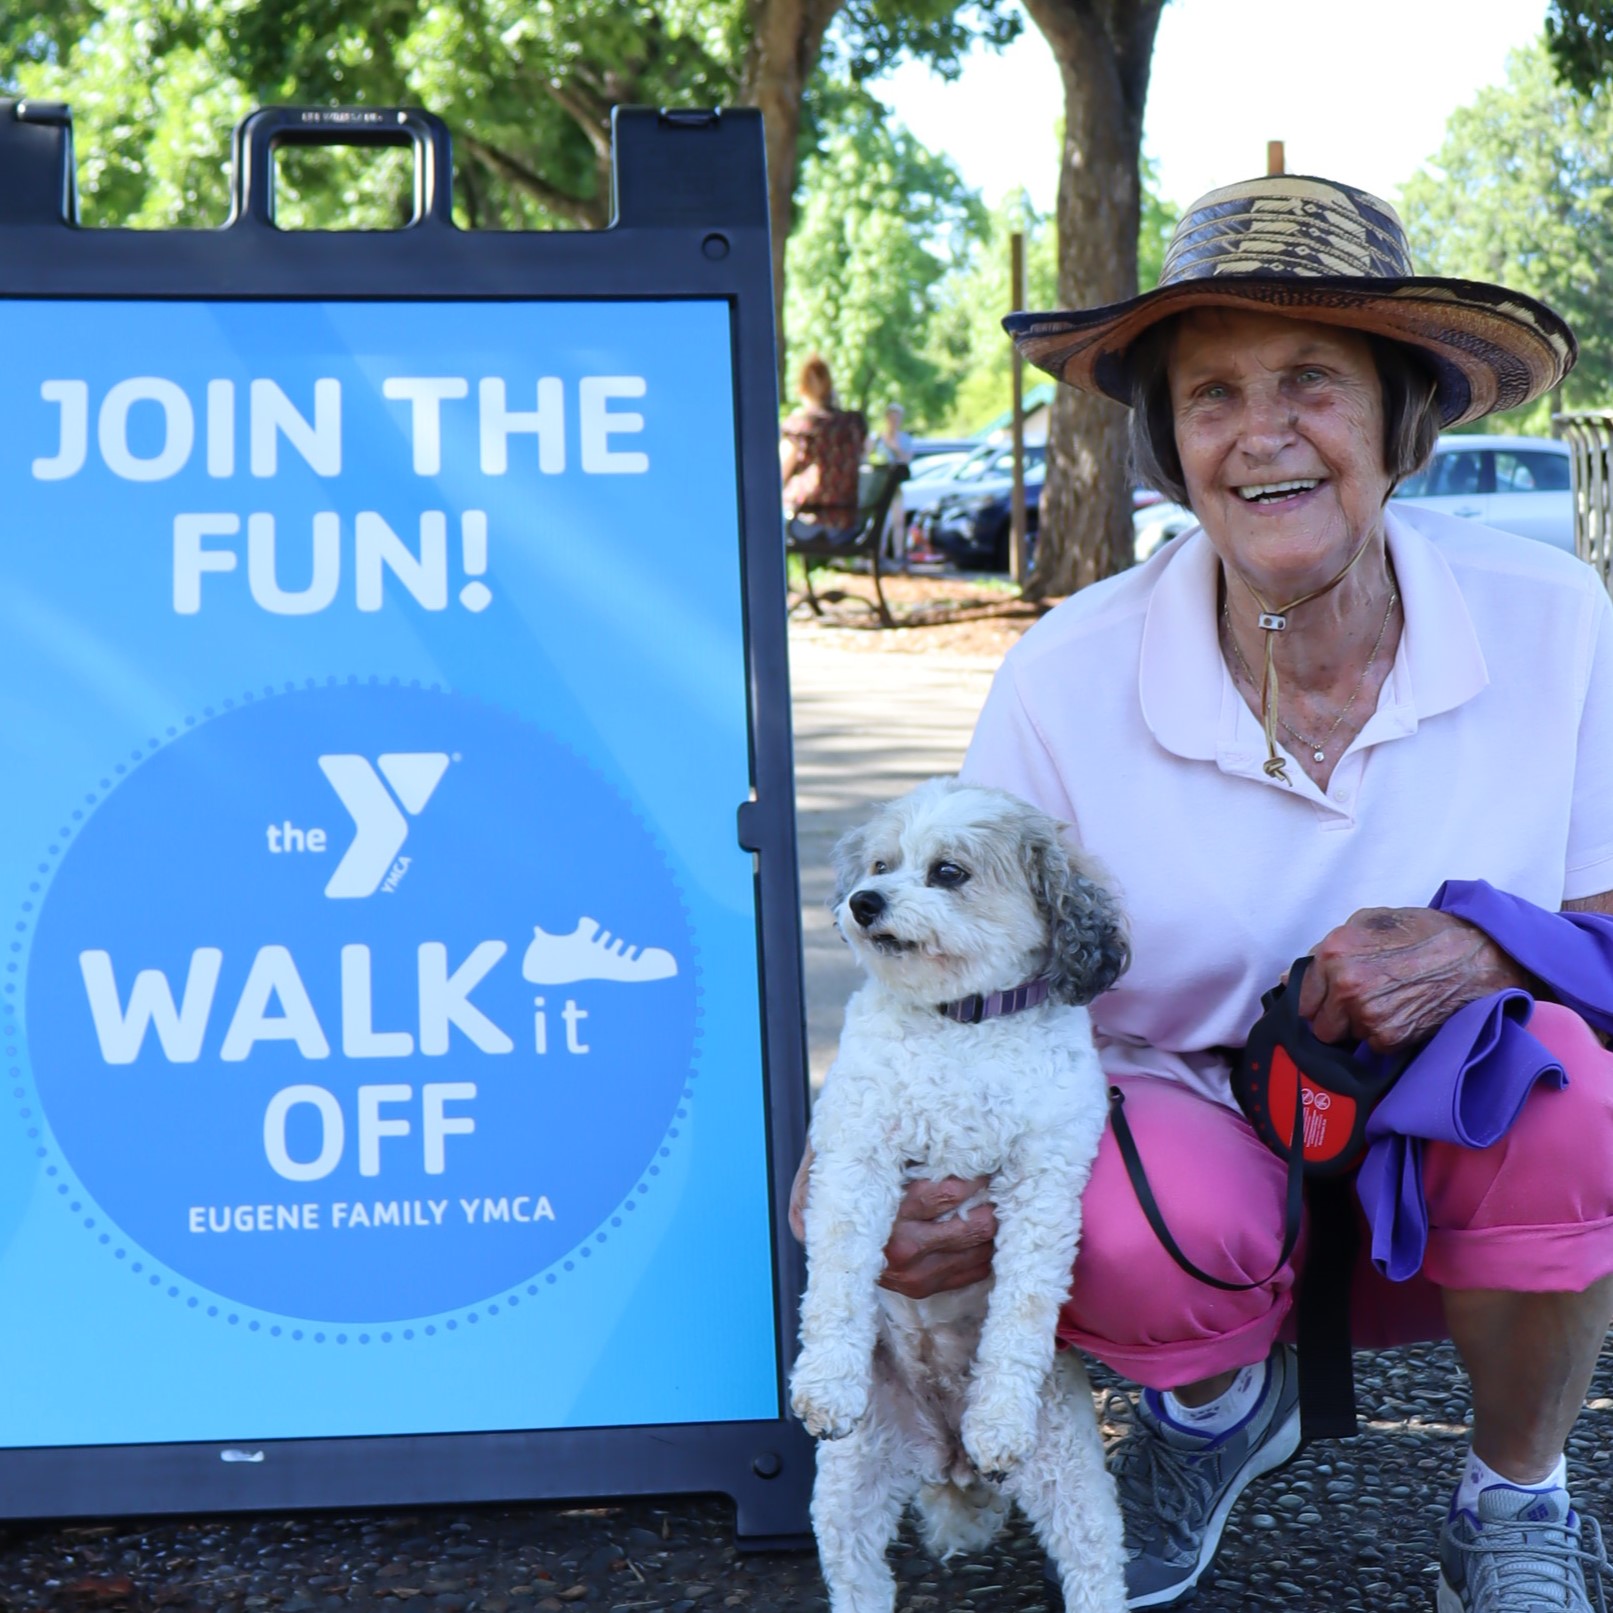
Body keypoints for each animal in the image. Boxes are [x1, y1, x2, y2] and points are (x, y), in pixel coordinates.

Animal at [790, 774, 1122, 1606]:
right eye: (879, 863)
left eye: (948, 872)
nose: (863, 901)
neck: (959, 1027)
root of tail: (946, 1458)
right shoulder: (854, 1157)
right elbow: (836, 1281)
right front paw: (824, 1384)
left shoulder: (1044, 1186)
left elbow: (1020, 1315)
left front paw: (997, 1419)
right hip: (847, 1489)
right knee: (858, 1579)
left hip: (1074, 1481)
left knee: (1095, 1570)